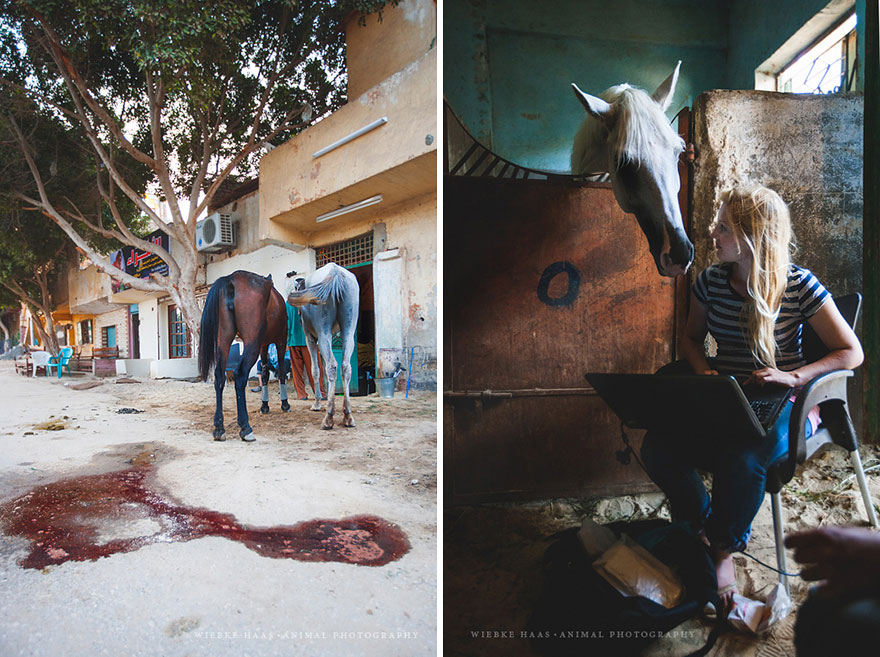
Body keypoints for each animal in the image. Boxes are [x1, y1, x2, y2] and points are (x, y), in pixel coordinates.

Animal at [198, 270, 290, 442]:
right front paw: (285, 404)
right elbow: (280, 371)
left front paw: (264, 405)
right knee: (240, 374)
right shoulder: (280, 340)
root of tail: (230, 279)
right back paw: (245, 427)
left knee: (219, 376)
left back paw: (219, 427)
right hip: (252, 342)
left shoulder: (263, 345)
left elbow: (265, 374)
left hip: (224, 339)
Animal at [287, 262, 360, 430]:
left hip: (322, 328)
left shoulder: (310, 338)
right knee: (345, 366)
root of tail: (335, 273)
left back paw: (329, 417)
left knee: (331, 365)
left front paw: (317, 403)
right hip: (349, 323)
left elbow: (315, 370)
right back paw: (347, 415)